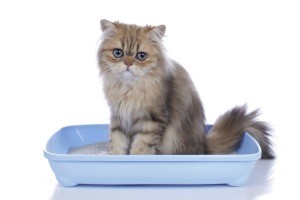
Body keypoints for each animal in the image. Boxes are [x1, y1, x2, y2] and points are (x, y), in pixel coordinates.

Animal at [98, 19, 274, 159]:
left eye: (141, 56)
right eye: (118, 53)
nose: (128, 64)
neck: (129, 88)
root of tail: (202, 144)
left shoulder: (152, 119)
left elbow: (141, 145)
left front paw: (136, 158)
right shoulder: (118, 116)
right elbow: (117, 140)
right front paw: (115, 156)